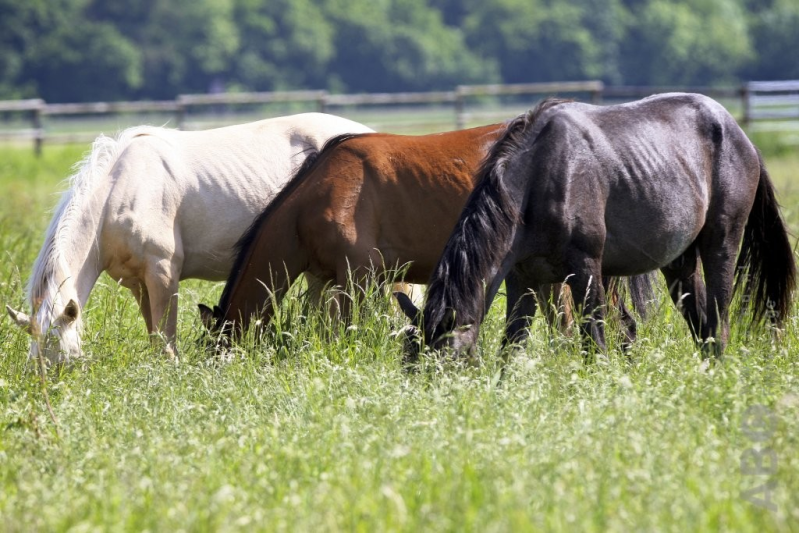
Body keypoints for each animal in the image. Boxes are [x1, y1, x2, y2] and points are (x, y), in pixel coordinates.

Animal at [5, 113, 374, 364]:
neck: (119, 192)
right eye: (35, 363)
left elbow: (166, 342)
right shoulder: (138, 283)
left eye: (64, 359)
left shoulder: (163, 273)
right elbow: (154, 336)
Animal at [396, 94, 796, 361]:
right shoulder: (523, 280)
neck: (540, 177)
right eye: (410, 362)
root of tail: (741, 135)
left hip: (721, 244)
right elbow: (511, 348)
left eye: (446, 358)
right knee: (703, 328)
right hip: (678, 262)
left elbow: (595, 344)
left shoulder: (586, 271)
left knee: (719, 321)